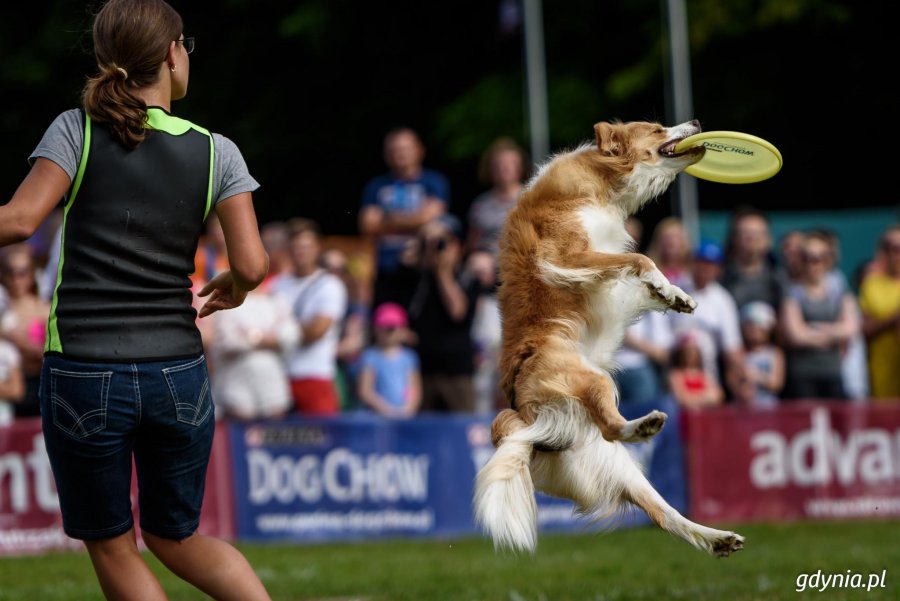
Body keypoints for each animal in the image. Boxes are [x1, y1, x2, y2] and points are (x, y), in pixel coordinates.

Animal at [474, 118, 748, 556]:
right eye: (656, 129)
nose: (697, 123)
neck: (603, 184)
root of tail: (527, 417)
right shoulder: (566, 257)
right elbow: (641, 258)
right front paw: (664, 284)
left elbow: (638, 277)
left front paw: (675, 294)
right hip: (591, 381)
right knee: (611, 427)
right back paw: (645, 425)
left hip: (614, 465)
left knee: (663, 514)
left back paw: (716, 538)